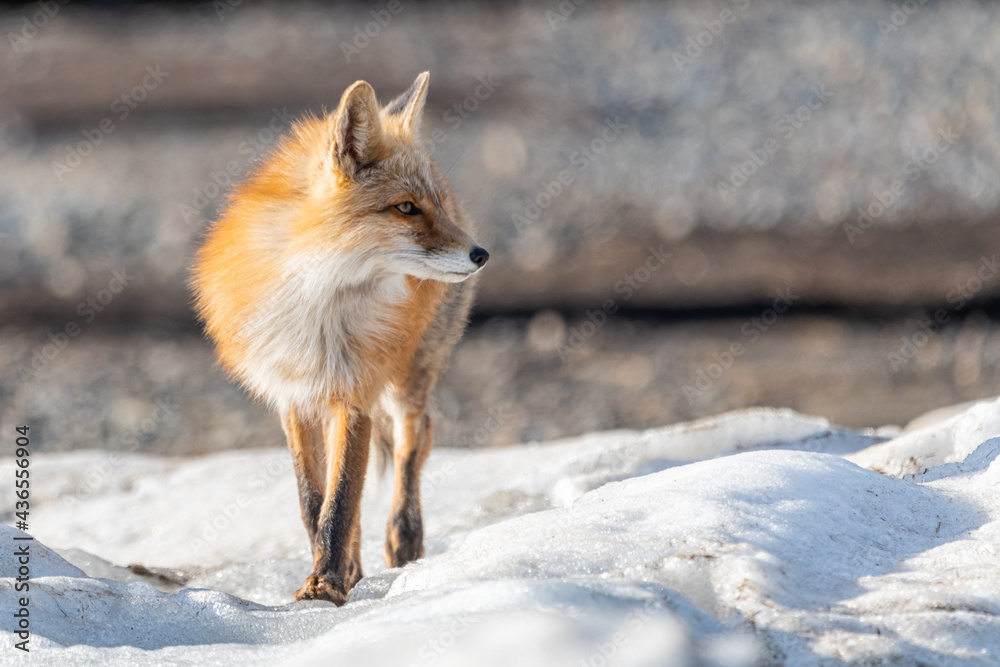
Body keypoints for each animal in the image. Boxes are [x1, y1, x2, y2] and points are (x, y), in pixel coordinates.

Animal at [191, 72, 489, 605]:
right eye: (407, 208)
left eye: (433, 204)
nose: (481, 254)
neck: (314, 301)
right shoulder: (293, 398)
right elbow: (315, 503)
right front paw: (337, 574)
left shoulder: (353, 393)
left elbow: (342, 500)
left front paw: (326, 584)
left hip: (408, 381)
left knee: (415, 440)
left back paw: (404, 542)